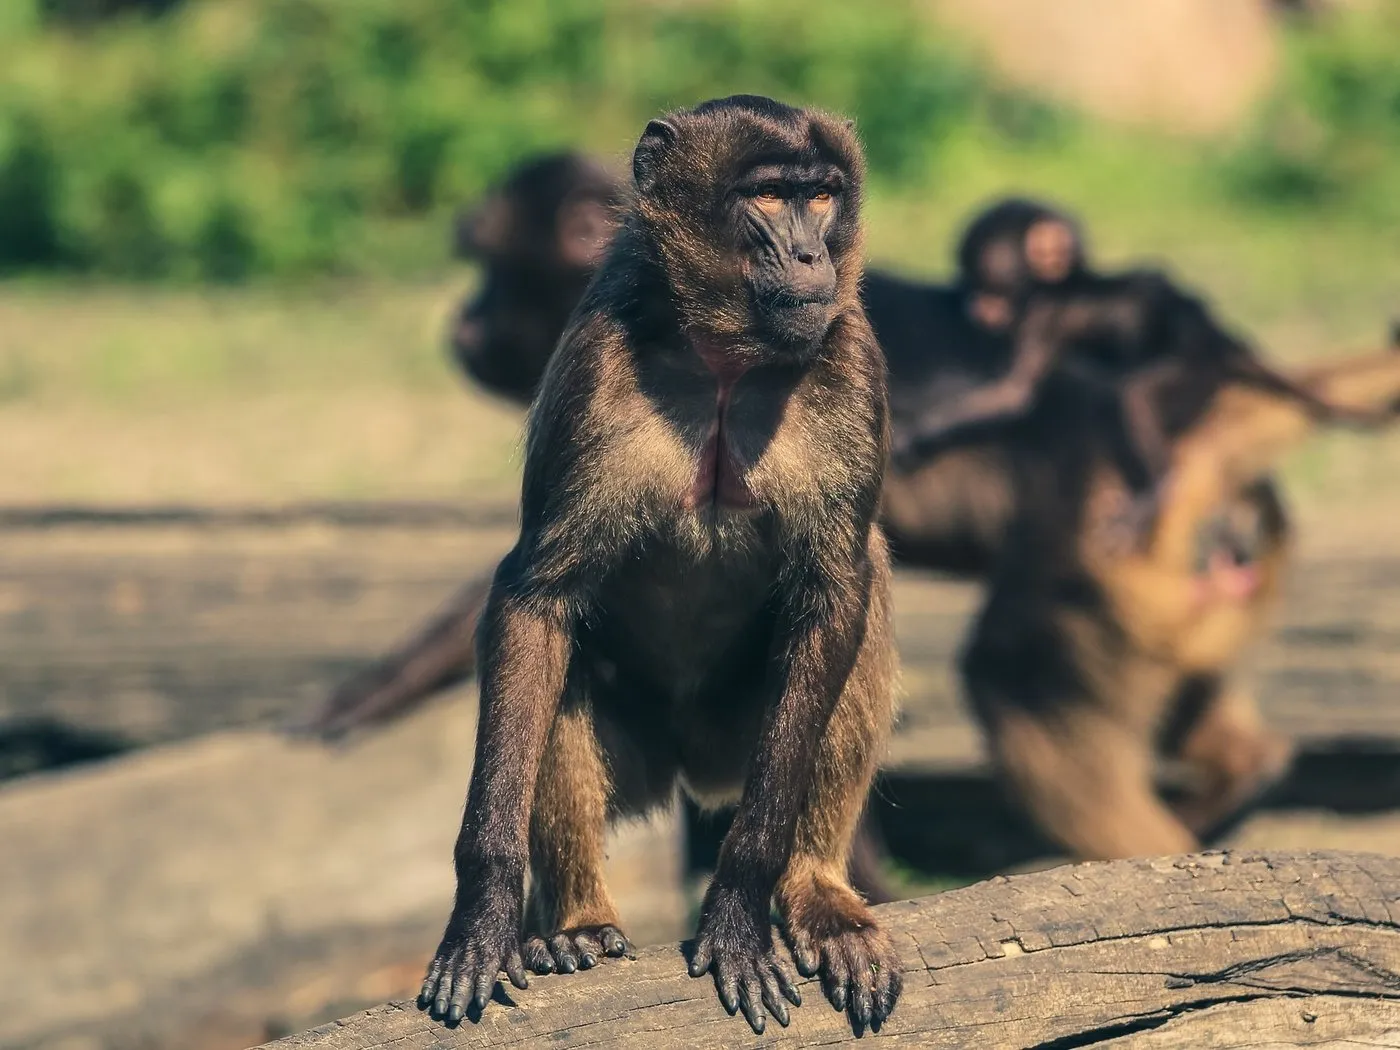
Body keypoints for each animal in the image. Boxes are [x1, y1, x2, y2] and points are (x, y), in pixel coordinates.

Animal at [414, 96, 901, 1036]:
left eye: (822, 195)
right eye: (770, 195)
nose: (812, 256)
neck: (725, 359)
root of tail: (690, 768)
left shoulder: (854, 359)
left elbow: (836, 592)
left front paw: (741, 903)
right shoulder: (593, 365)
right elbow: (535, 599)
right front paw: (484, 915)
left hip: (738, 739)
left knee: (865, 591)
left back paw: (816, 889)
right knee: (556, 661)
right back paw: (577, 922)